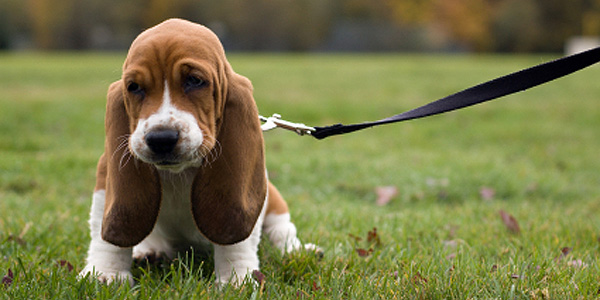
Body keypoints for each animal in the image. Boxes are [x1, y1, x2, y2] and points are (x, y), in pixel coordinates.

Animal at [79, 18, 318, 286]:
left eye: (194, 81)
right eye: (134, 87)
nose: (161, 139)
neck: (178, 173)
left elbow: (238, 242)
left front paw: (236, 279)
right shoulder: (106, 177)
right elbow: (105, 236)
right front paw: (104, 274)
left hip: (275, 203)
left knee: (283, 232)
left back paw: (299, 251)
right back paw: (149, 251)